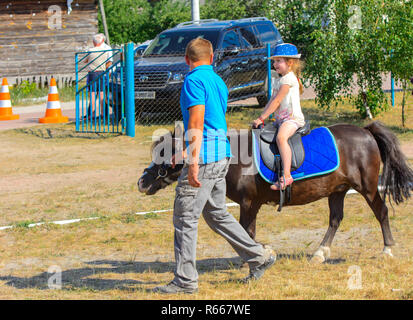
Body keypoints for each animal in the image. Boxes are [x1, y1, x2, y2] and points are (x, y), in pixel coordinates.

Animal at [138, 122, 412, 262]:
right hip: (338, 189)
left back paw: (387, 249)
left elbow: (246, 232)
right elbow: (246, 232)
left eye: (164, 153)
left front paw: (261, 253)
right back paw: (320, 252)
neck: (236, 158)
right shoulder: (250, 205)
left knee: (381, 212)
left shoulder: (249, 203)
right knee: (335, 219)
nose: (142, 181)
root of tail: (366, 130)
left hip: (367, 187)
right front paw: (261, 252)